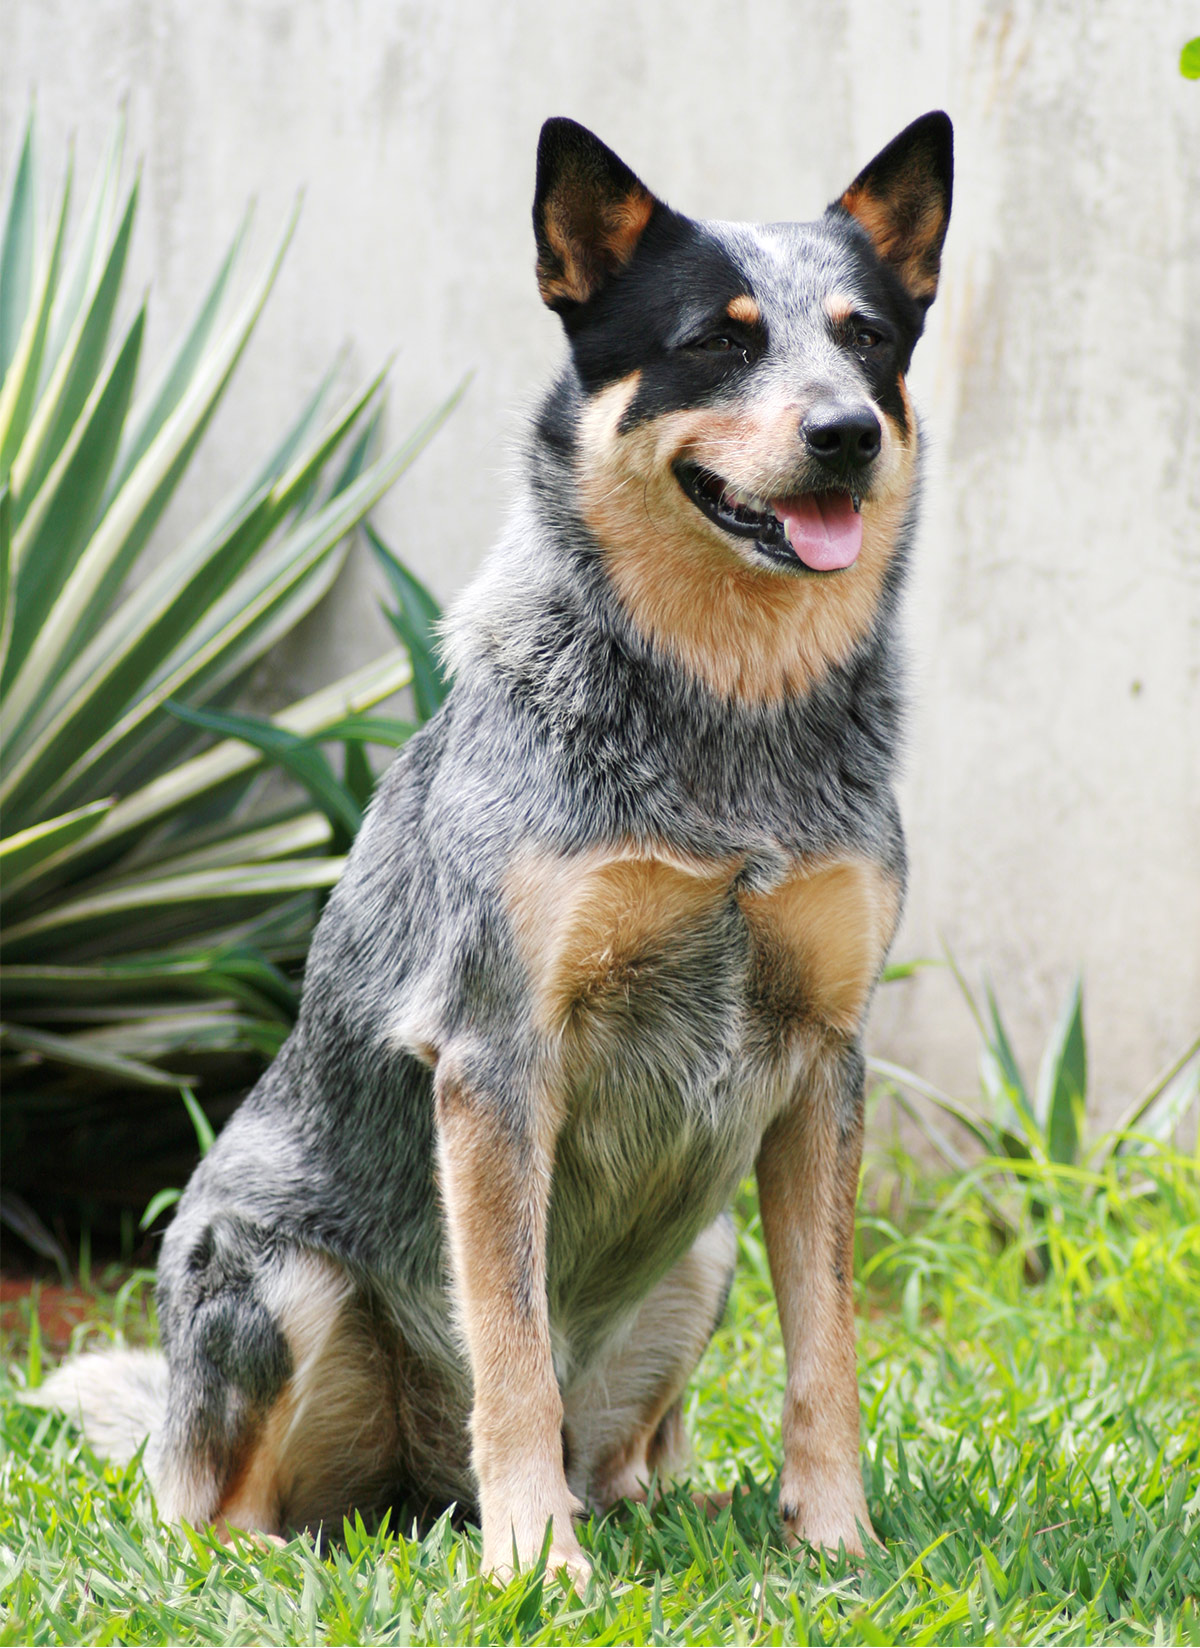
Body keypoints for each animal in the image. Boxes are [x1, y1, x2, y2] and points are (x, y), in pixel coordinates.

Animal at [39, 109, 956, 1575]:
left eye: (865, 335)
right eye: (716, 341)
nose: (846, 432)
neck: (726, 716)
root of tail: (414, 1494)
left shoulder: (825, 1059)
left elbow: (828, 1346)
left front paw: (837, 1541)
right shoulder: (494, 1054)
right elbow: (511, 1341)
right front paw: (537, 1564)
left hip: (700, 1257)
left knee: (627, 1450)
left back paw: (663, 1505)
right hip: (274, 1280)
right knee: (211, 1508)